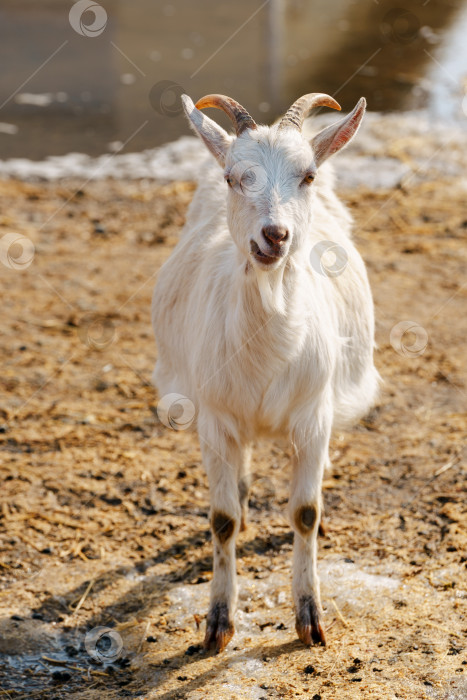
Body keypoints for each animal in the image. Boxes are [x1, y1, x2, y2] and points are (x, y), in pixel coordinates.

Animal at [154, 91, 380, 652]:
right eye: (236, 178)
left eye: (308, 176)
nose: (275, 236)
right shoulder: (215, 419)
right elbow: (222, 520)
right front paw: (217, 623)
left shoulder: (313, 415)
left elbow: (305, 513)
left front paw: (310, 618)